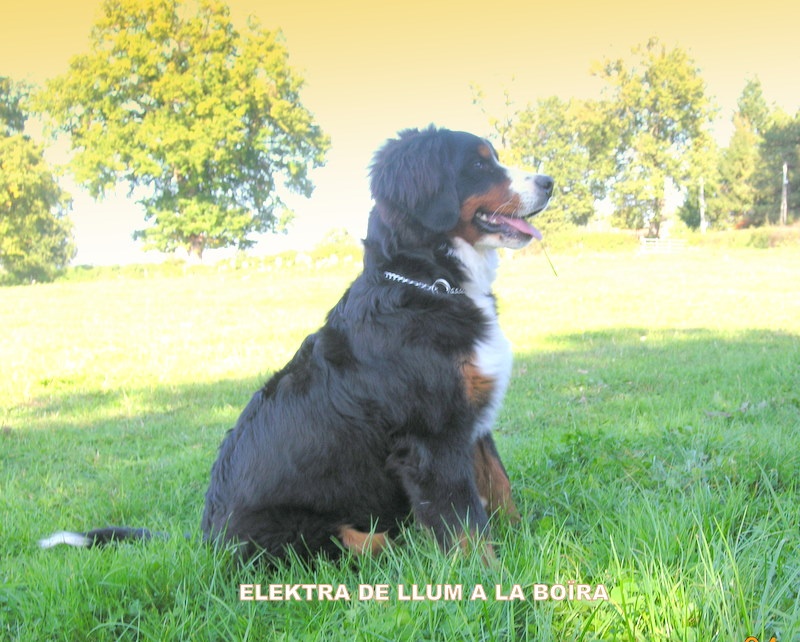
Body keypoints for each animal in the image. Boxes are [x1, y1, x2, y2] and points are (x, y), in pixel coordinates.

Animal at [39, 126, 553, 563]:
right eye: (480, 164)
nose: (549, 182)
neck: (430, 285)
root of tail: (205, 539)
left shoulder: (472, 423)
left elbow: (499, 489)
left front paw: (526, 542)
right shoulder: (432, 438)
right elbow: (463, 522)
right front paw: (488, 578)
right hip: (319, 533)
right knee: (376, 546)